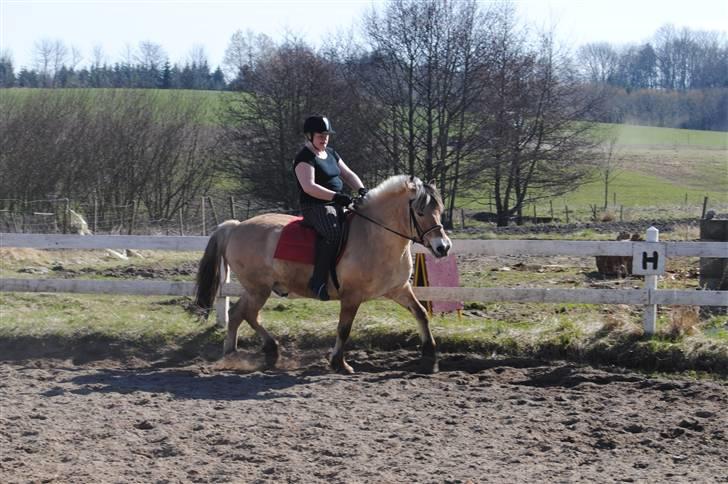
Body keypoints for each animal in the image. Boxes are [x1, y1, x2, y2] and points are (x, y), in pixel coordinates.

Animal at [196, 175, 452, 374]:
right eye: (420, 212)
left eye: (439, 210)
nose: (443, 247)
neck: (375, 236)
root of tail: (236, 227)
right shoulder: (351, 296)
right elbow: (344, 329)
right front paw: (339, 363)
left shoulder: (399, 289)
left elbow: (421, 314)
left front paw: (430, 359)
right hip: (258, 289)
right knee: (245, 313)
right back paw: (250, 352)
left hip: (256, 289)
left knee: (240, 314)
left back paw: (248, 352)